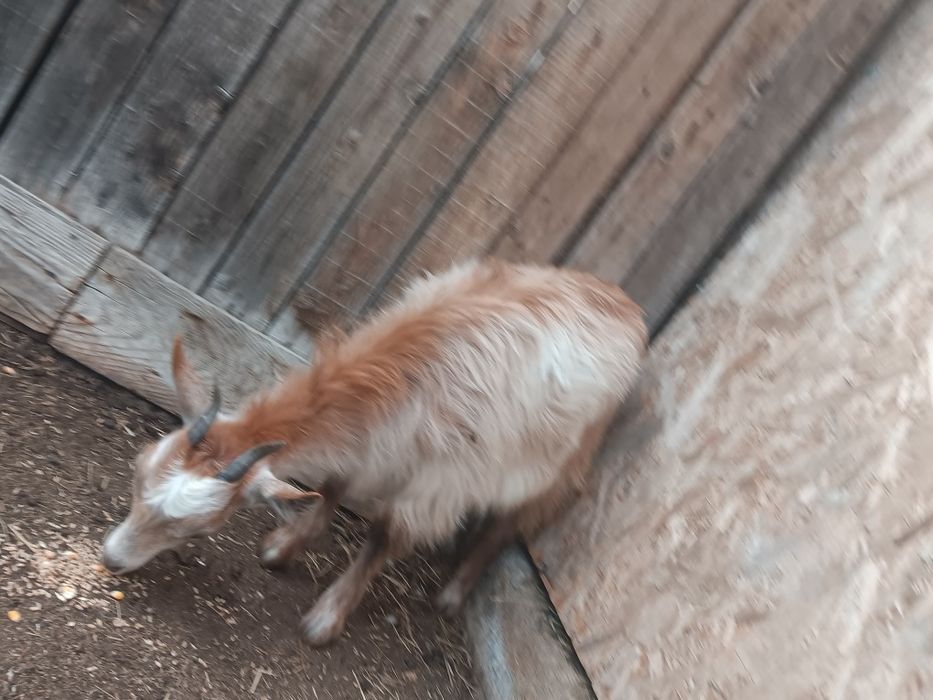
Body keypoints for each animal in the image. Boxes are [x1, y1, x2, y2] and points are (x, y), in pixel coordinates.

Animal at [101, 259, 647, 645]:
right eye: (137, 475)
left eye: (196, 528)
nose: (112, 559)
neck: (406, 378)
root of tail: (630, 307)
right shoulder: (377, 444)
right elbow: (331, 486)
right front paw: (285, 545)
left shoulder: (442, 481)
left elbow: (386, 535)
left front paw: (326, 619)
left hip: (560, 460)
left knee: (507, 524)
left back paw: (452, 595)